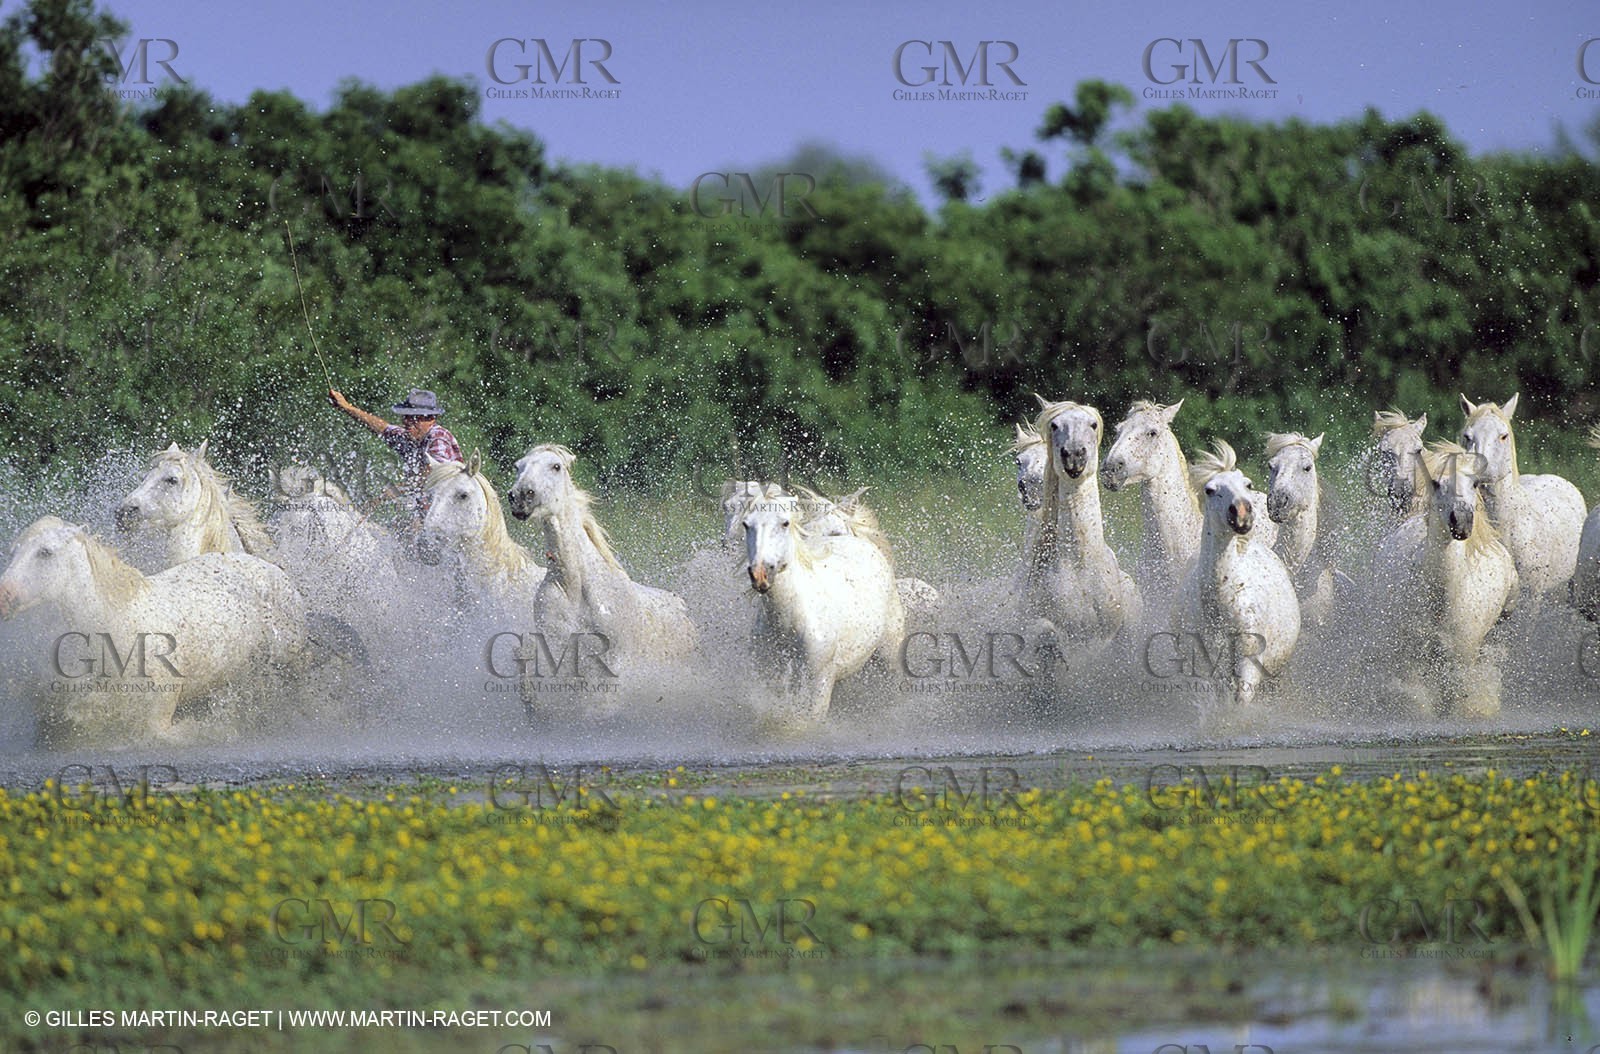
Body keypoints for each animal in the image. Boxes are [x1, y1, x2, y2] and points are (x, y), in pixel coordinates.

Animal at [0, 516, 308, 745]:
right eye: (13, 552)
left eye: (45, 552)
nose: (4, 596)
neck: (117, 625)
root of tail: (274, 569)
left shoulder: (158, 716)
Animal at [739, 490, 904, 727]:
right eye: (746, 524)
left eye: (785, 523)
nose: (760, 573)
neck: (789, 620)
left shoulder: (819, 681)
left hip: (890, 653)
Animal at [1176, 441, 1300, 709]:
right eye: (1210, 490)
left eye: (1248, 484)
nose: (1242, 512)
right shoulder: (1205, 667)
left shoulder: (1249, 663)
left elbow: (1241, 702)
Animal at [1383, 442, 1519, 717]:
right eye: (1436, 483)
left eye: (1475, 483)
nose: (1462, 522)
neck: (1444, 595)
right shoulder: (1413, 657)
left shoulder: (1462, 656)